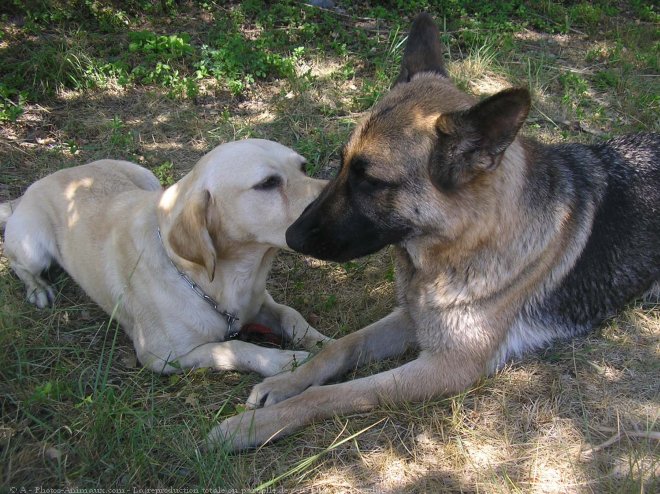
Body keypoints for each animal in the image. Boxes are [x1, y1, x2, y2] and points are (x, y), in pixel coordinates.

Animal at [213, 13, 660, 450]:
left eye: (370, 181)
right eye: (341, 165)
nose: (292, 237)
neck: (466, 243)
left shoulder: (446, 365)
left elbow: (339, 392)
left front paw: (254, 426)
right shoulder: (410, 317)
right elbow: (340, 347)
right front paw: (284, 382)